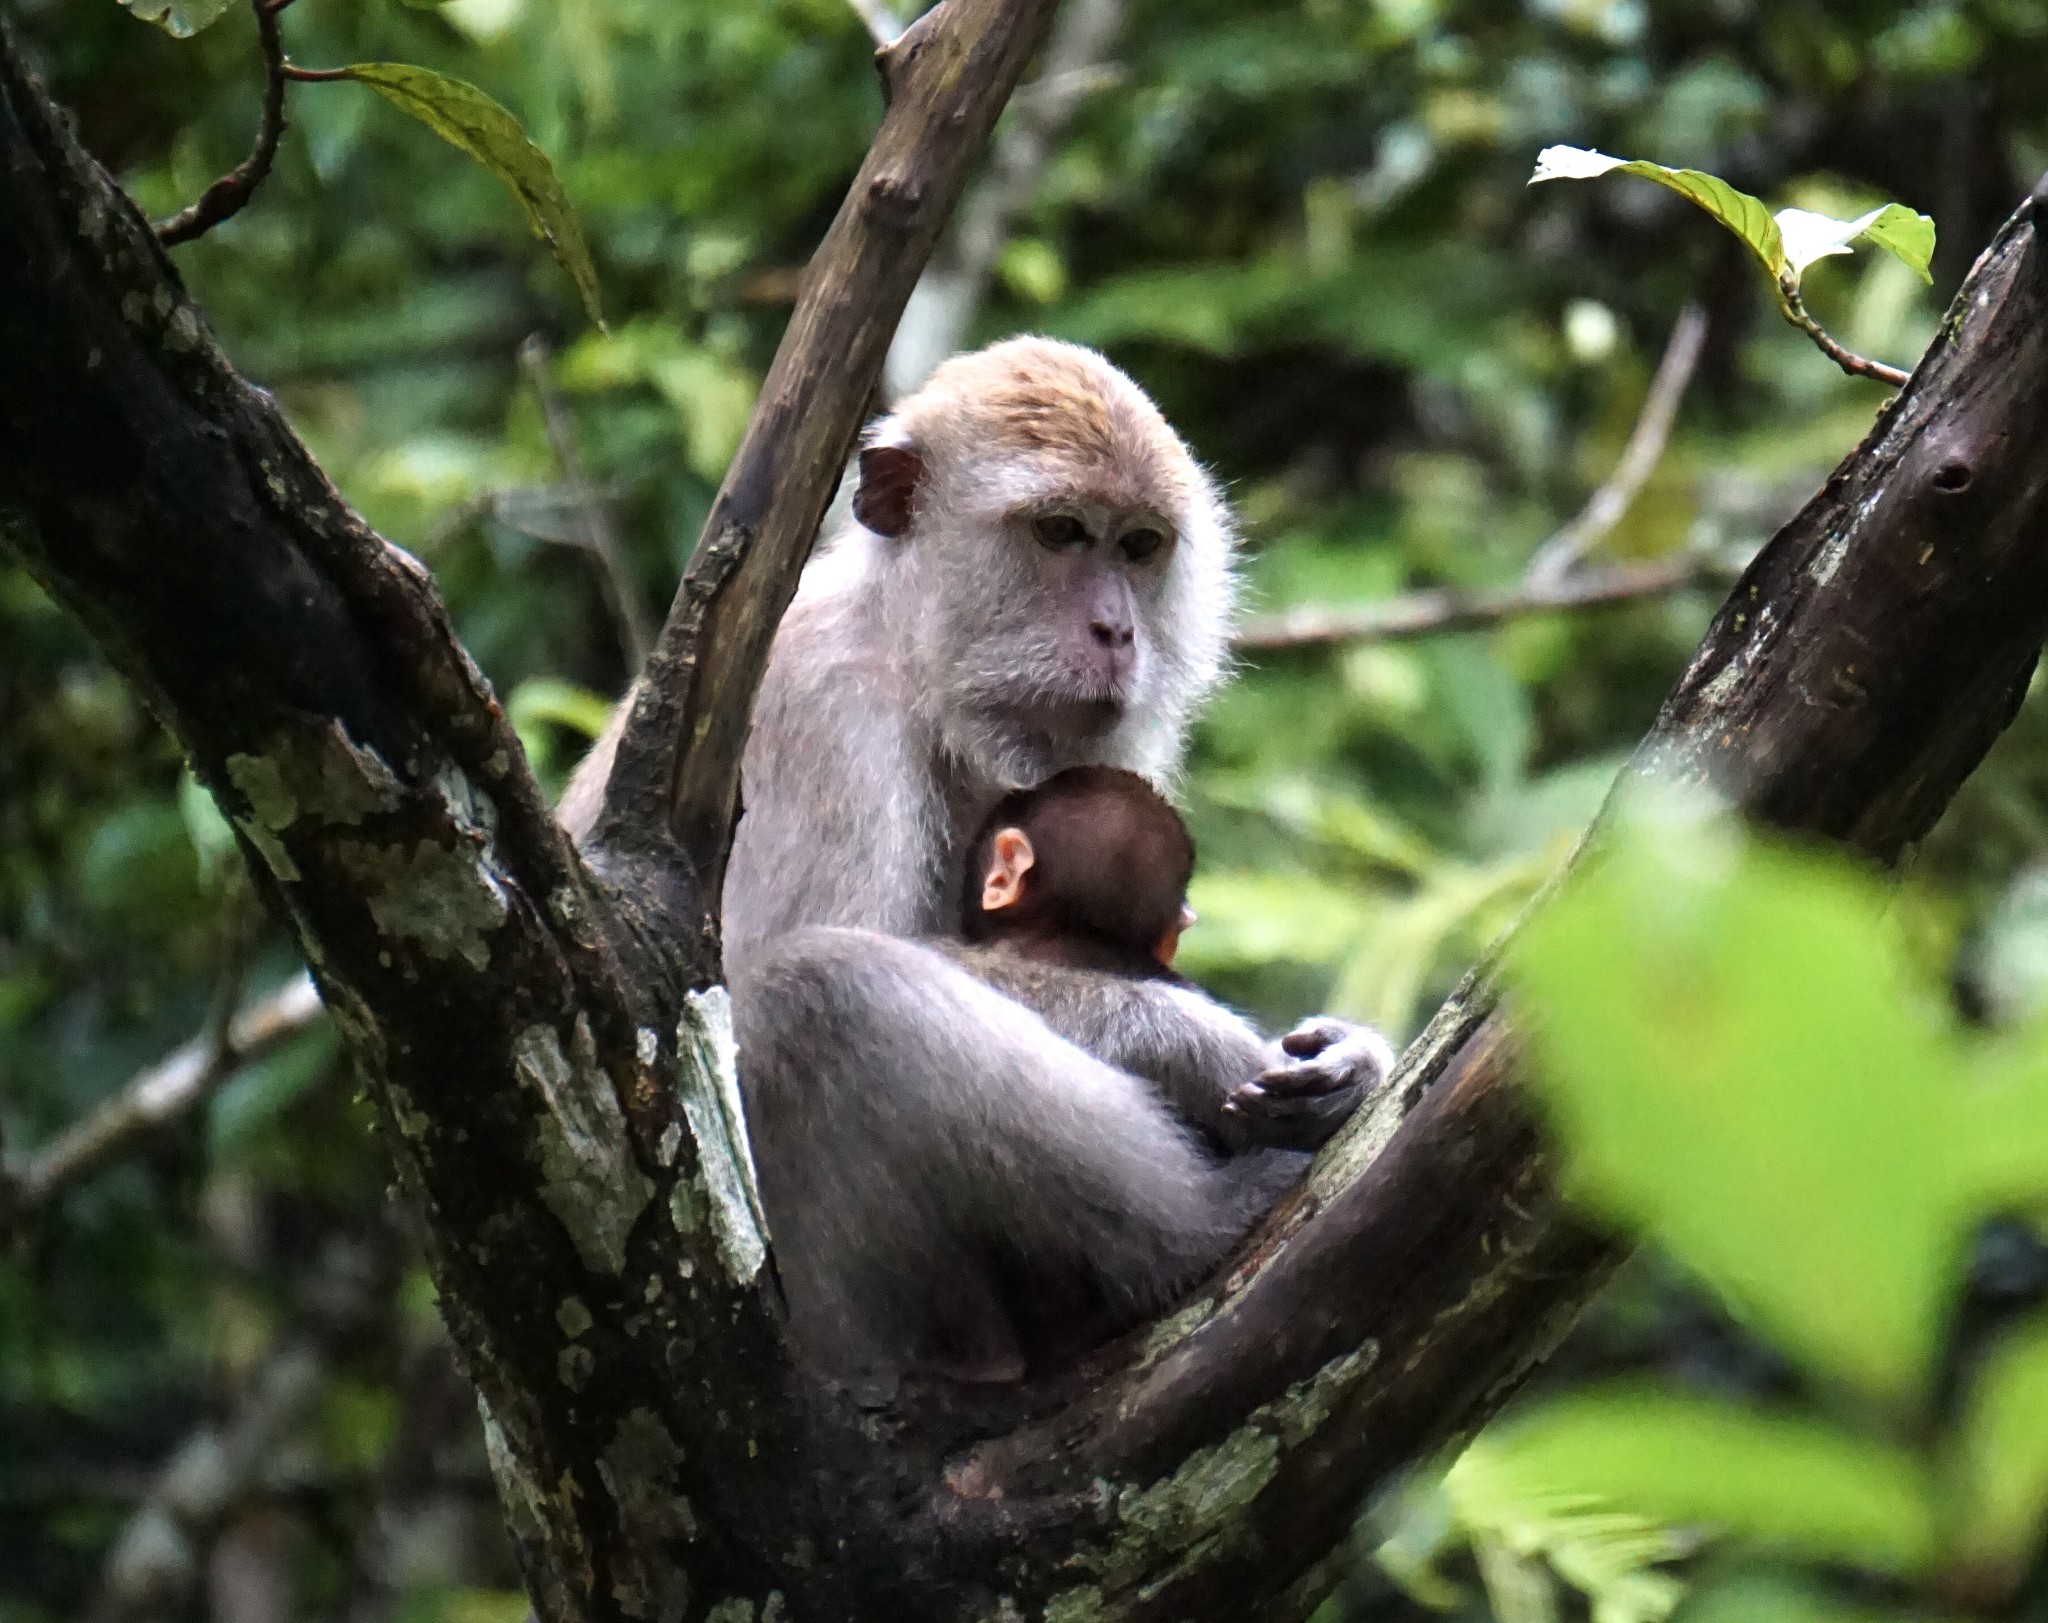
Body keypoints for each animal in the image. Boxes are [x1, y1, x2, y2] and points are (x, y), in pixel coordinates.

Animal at [561, 340, 1392, 1385]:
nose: (1117, 632)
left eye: (1139, 546)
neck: (912, 655)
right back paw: (1196, 1229)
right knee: (820, 988)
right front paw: (1197, 1042)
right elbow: (733, 1000)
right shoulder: (823, 719)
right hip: (848, 1320)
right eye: (1061, 532)